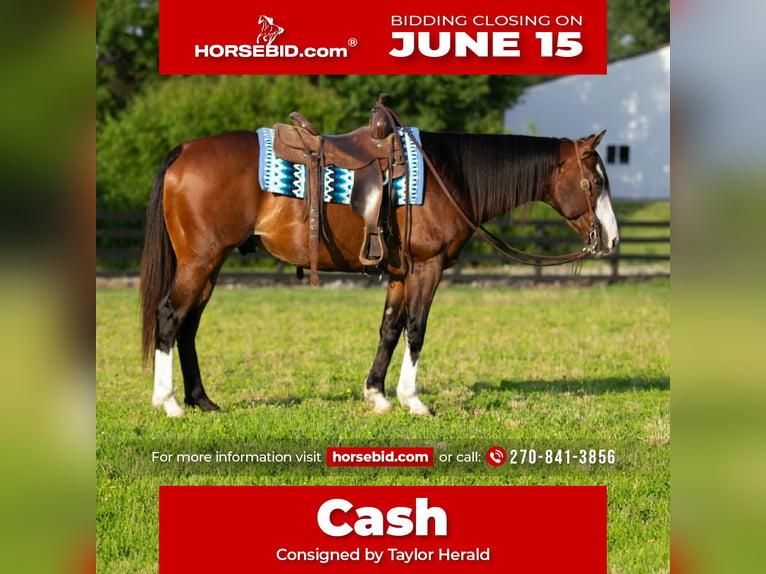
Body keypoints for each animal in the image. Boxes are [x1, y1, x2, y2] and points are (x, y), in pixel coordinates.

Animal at [139, 120, 619, 418]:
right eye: (595, 182)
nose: (612, 240)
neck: (449, 176)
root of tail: (185, 150)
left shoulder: (401, 274)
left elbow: (390, 329)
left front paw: (378, 395)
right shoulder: (427, 268)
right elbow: (417, 330)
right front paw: (414, 400)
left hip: (211, 263)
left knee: (188, 325)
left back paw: (202, 401)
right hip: (200, 261)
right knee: (169, 315)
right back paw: (169, 402)